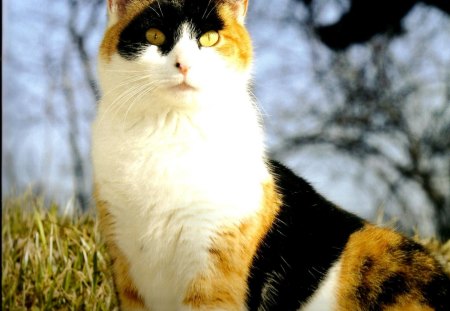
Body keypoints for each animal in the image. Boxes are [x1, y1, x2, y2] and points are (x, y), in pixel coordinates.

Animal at [92, 0, 450, 311]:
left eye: (209, 38)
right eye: (154, 36)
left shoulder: (216, 265)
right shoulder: (126, 265)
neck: (170, 131)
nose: (184, 65)